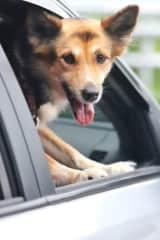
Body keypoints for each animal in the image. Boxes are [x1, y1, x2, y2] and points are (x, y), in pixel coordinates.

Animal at [0, 3, 139, 186]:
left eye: (101, 58)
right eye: (68, 58)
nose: (91, 94)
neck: (28, 72)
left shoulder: (38, 125)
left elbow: (71, 152)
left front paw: (111, 167)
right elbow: (50, 162)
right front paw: (82, 175)